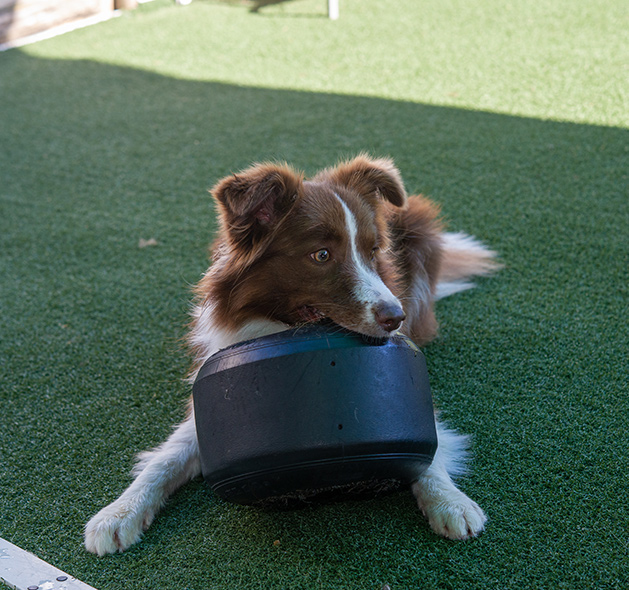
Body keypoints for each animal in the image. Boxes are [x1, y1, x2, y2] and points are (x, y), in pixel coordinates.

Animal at [83, 156, 498, 556]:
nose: (395, 317)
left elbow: (429, 449)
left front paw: (450, 501)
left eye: (373, 251)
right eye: (322, 254)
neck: (276, 327)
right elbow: (165, 457)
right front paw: (118, 513)